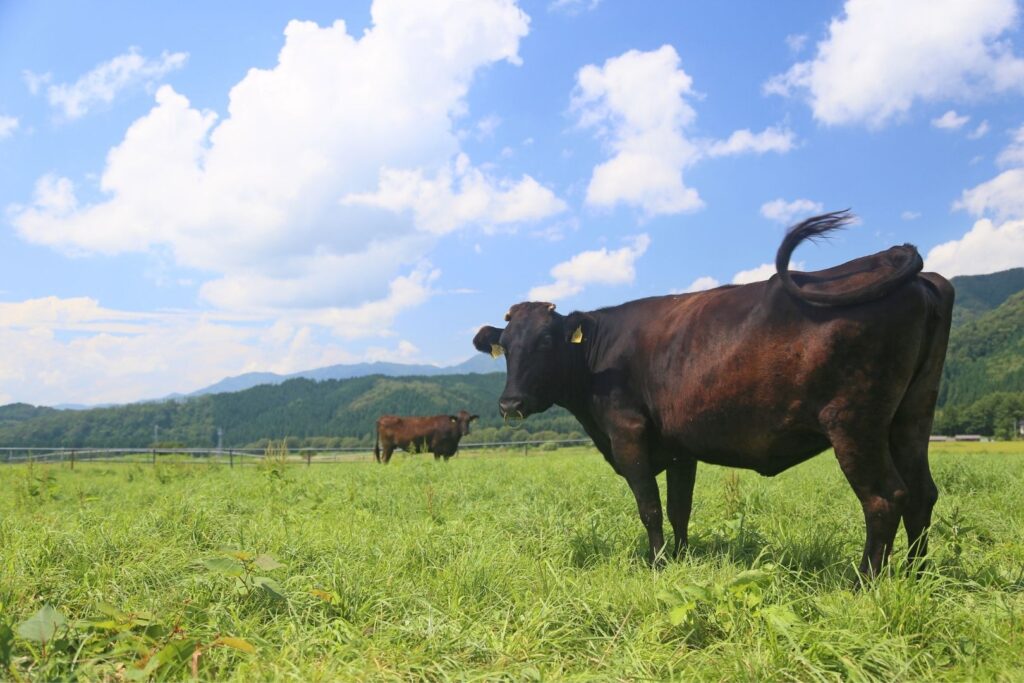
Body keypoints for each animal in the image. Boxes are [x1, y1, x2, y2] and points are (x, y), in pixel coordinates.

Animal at [475, 210, 954, 573]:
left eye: (546, 341)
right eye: (507, 347)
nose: (510, 403)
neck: (599, 356)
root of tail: (898, 261)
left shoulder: (628, 434)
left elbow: (649, 506)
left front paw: (657, 565)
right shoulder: (679, 448)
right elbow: (678, 507)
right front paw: (680, 558)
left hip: (855, 422)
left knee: (884, 498)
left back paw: (864, 582)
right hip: (912, 415)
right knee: (921, 493)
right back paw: (915, 574)